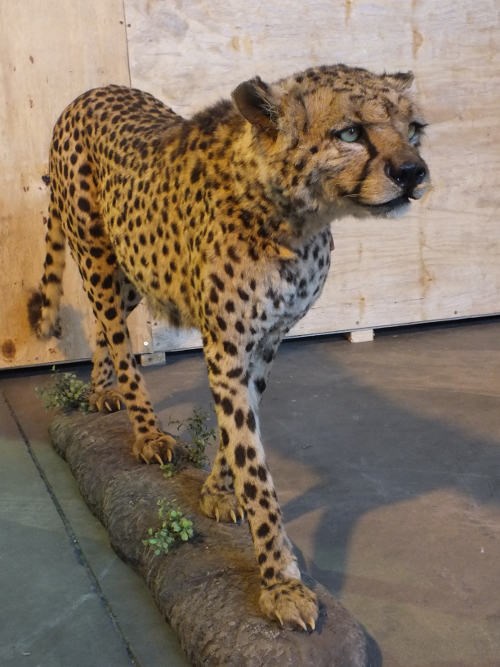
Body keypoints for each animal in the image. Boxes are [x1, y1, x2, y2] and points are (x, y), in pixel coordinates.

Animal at [28, 64, 429, 631]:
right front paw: (280, 584)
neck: (296, 218)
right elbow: (252, 460)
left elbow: (238, 430)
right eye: (350, 133)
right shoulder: (227, 345)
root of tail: (93, 91)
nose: (414, 172)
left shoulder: (266, 342)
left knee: (108, 324)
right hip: (98, 257)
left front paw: (216, 492)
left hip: (136, 267)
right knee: (113, 331)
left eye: (413, 129)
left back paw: (100, 390)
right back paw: (145, 432)